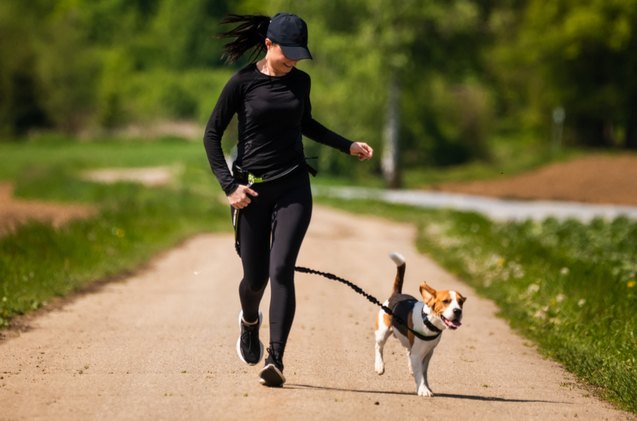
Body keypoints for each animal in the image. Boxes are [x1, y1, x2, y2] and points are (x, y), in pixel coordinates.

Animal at [372, 251, 468, 396]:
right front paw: (423, 389)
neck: (428, 321)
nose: (458, 311)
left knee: (408, 352)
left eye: (460, 302)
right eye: (446, 301)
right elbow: (420, 374)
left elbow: (423, 372)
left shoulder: (428, 353)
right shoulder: (418, 354)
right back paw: (379, 366)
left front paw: (425, 386)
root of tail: (396, 295)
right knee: (379, 347)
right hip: (382, 333)